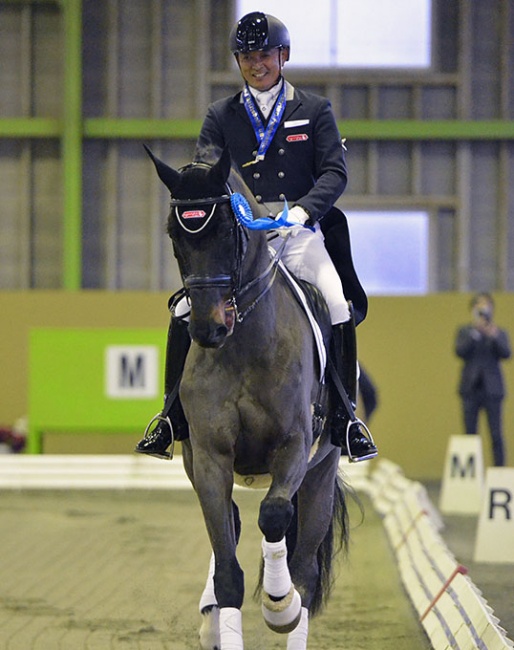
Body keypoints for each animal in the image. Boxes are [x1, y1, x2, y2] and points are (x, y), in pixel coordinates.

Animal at [144, 146, 348, 648]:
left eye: (226, 230)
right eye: (175, 234)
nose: (208, 328)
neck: (245, 342)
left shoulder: (294, 447)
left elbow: (273, 515)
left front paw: (279, 605)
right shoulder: (209, 456)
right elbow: (229, 574)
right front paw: (219, 615)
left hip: (321, 471)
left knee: (305, 570)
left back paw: (289, 602)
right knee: (234, 524)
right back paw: (209, 618)